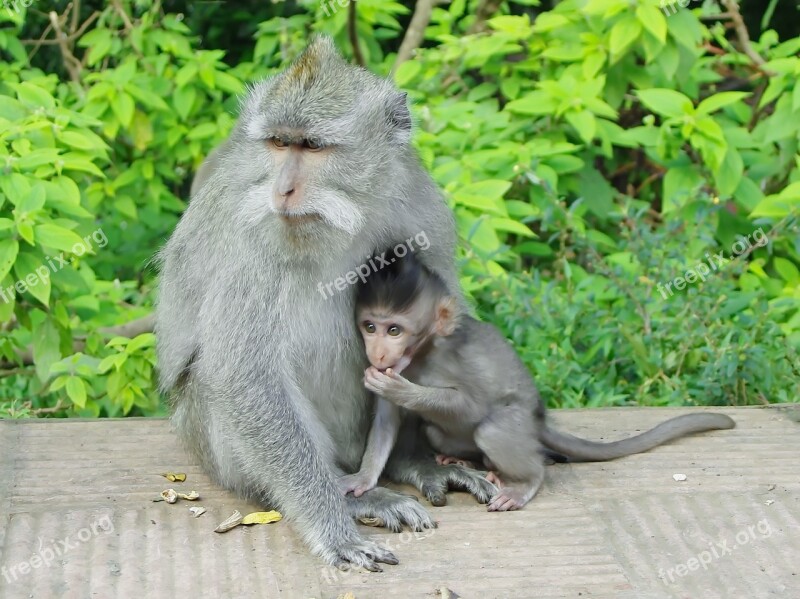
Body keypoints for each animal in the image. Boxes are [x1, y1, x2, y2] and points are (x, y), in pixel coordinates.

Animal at [155, 37, 494, 572]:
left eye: (312, 147)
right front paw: (333, 526)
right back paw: (354, 496)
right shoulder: (255, 239)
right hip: (205, 439)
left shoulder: (421, 209)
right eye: (279, 144)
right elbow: (243, 374)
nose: (282, 189)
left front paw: (418, 458)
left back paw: (403, 463)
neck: (348, 216)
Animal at [340, 248, 736, 510]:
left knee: (492, 429)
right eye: (370, 327)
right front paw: (363, 479)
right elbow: (387, 422)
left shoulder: (450, 359)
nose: (377, 353)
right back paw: (471, 463)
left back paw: (524, 480)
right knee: (438, 431)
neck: (422, 353)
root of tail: (538, 420)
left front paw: (402, 390)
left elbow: (472, 405)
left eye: (394, 330)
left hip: (517, 425)